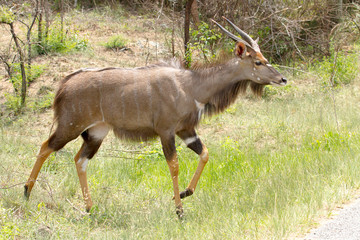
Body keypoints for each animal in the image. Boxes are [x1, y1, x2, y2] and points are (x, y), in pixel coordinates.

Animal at [23, 15, 286, 217]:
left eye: (264, 58)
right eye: (258, 61)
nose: (282, 78)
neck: (191, 86)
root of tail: (64, 85)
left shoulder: (186, 130)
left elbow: (205, 154)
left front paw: (185, 193)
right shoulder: (166, 131)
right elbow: (174, 165)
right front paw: (179, 210)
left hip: (96, 133)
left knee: (79, 160)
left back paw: (90, 208)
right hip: (70, 127)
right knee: (46, 146)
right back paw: (26, 192)